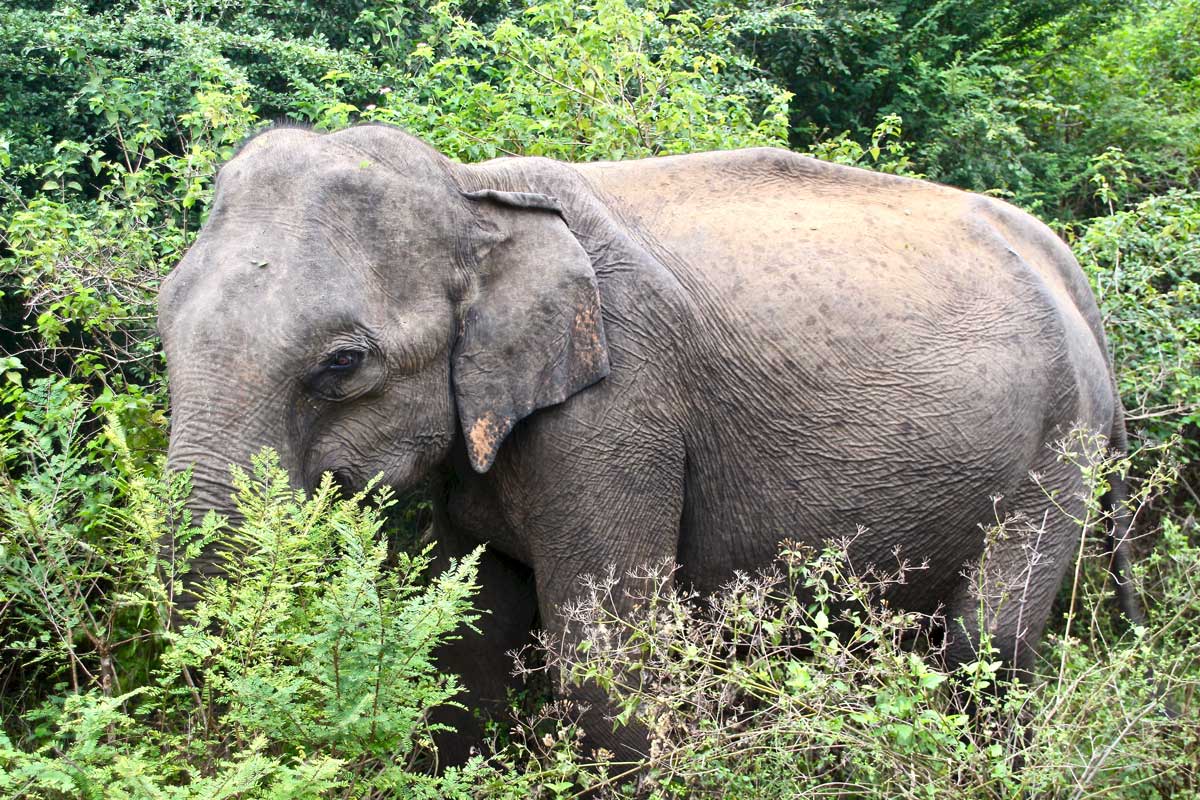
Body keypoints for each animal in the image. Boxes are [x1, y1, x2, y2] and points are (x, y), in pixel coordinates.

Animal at [159, 123, 1142, 762]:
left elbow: (607, 664)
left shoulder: (618, 411)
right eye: (161, 322)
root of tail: (1067, 265)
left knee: (987, 650)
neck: (475, 191)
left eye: (342, 363)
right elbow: (469, 644)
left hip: (1062, 446)